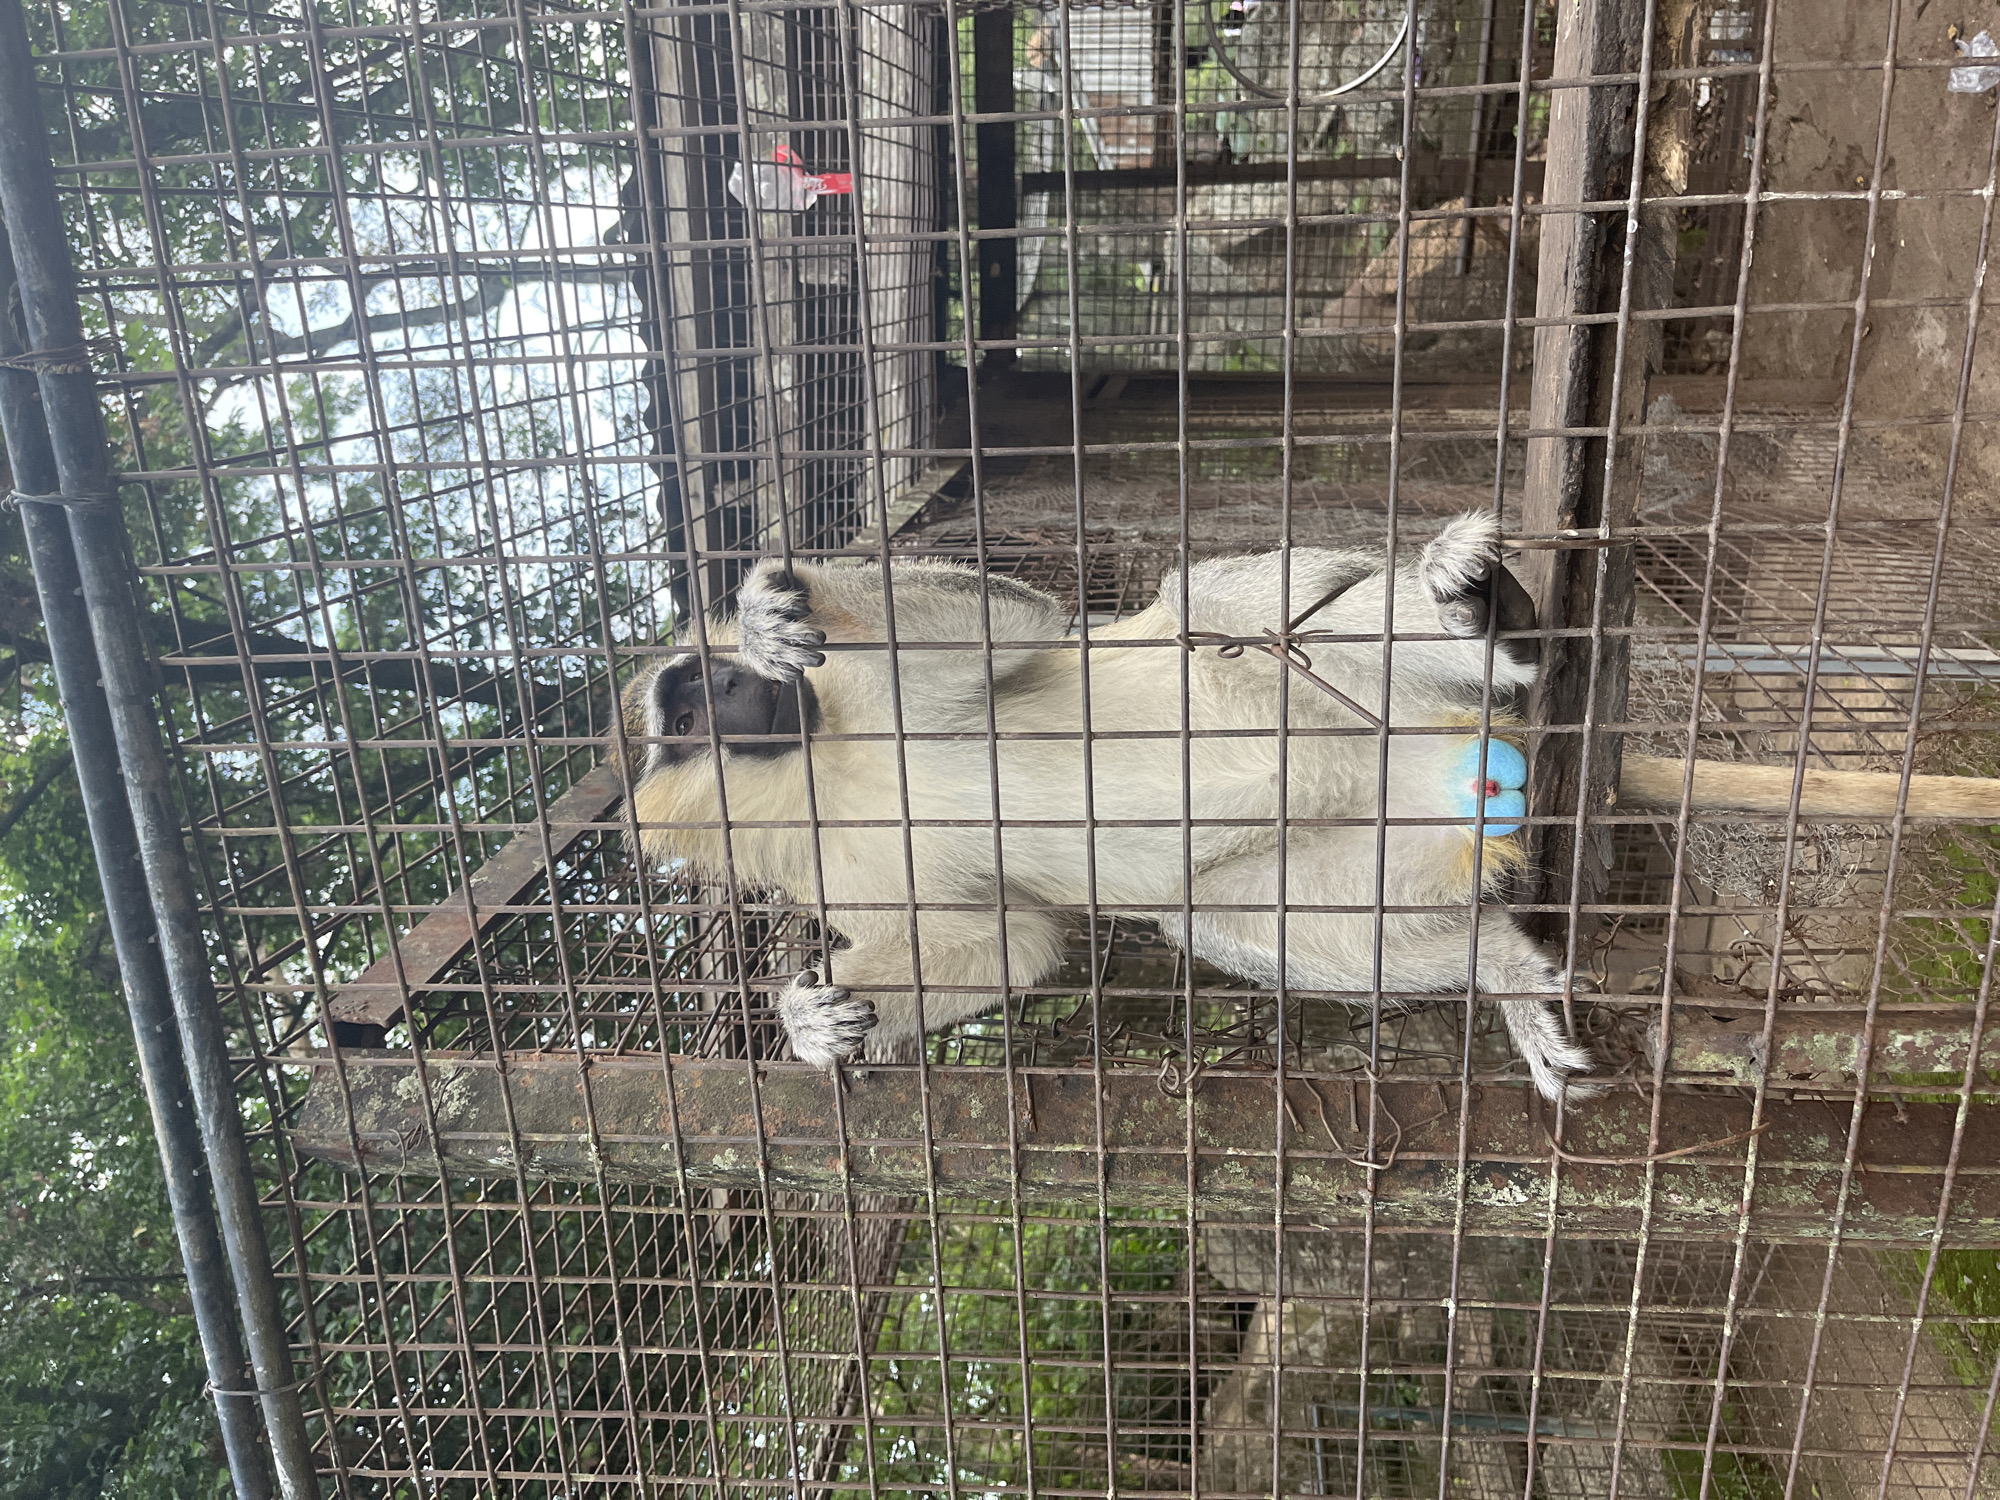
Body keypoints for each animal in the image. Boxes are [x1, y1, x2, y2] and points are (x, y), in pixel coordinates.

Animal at [620, 511, 1599, 1101]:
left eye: (705, 688)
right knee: (1214, 917)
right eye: (684, 718)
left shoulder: (863, 687)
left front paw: (764, 608)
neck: (829, 767)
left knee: (1214, 598)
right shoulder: (838, 864)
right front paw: (811, 1022)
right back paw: (1499, 970)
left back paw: (1484, 617)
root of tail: (1438, 769)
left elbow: (1008, 622)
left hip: (1328, 689)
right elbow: (1007, 945)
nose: (731, 690)